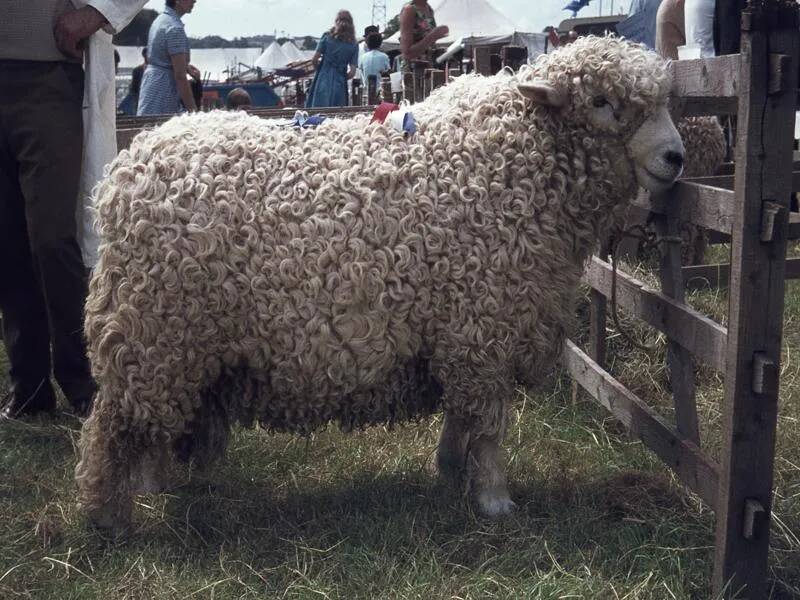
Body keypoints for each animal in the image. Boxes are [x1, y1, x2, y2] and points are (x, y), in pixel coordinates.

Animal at [76, 35, 688, 528]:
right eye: (602, 102)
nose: (675, 157)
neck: (515, 163)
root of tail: (126, 170)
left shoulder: (459, 330)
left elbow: (461, 417)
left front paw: (450, 471)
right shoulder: (483, 326)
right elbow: (488, 423)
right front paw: (495, 501)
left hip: (180, 341)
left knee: (151, 423)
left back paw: (155, 486)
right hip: (153, 329)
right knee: (113, 424)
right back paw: (108, 516)